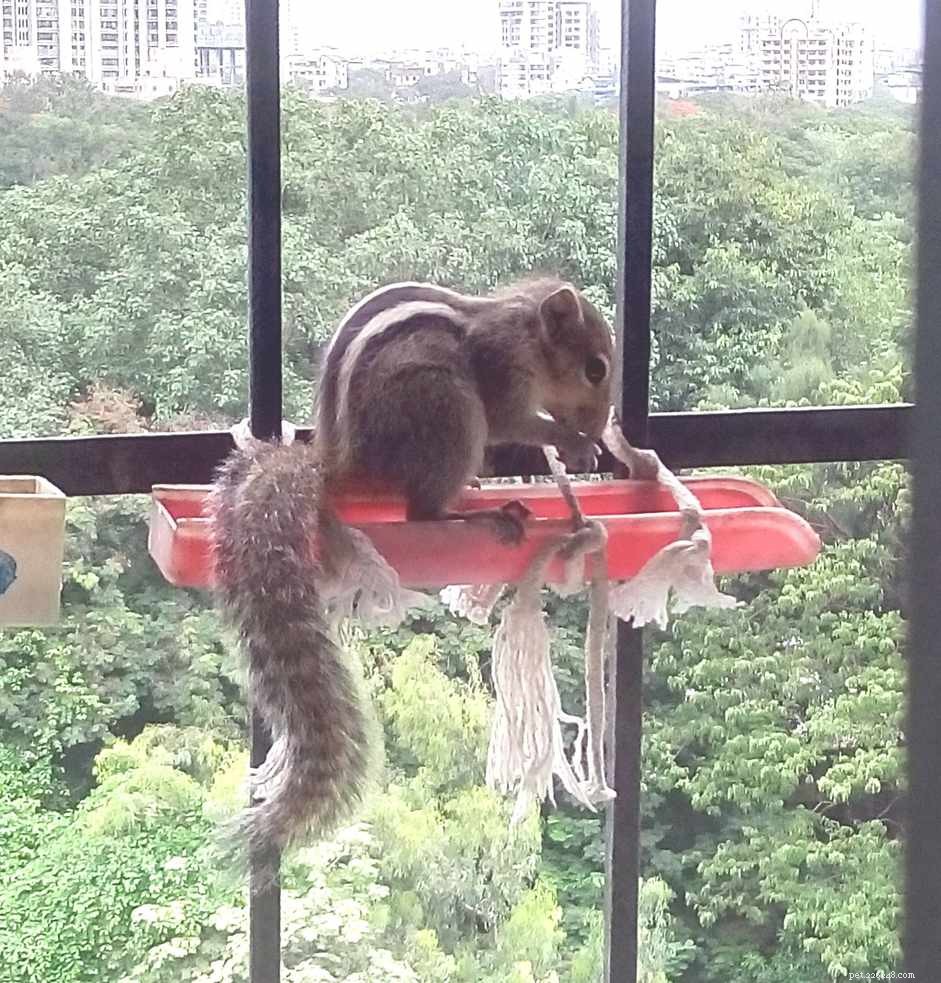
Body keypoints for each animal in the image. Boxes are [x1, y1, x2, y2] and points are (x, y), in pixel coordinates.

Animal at [208, 277, 615, 877]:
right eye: (594, 368)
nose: (600, 429)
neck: (527, 335)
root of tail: (343, 465)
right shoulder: (501, 374)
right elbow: (512, 420)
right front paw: (570, 440)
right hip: (447, 409)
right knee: (424, 509)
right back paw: (477, 514)